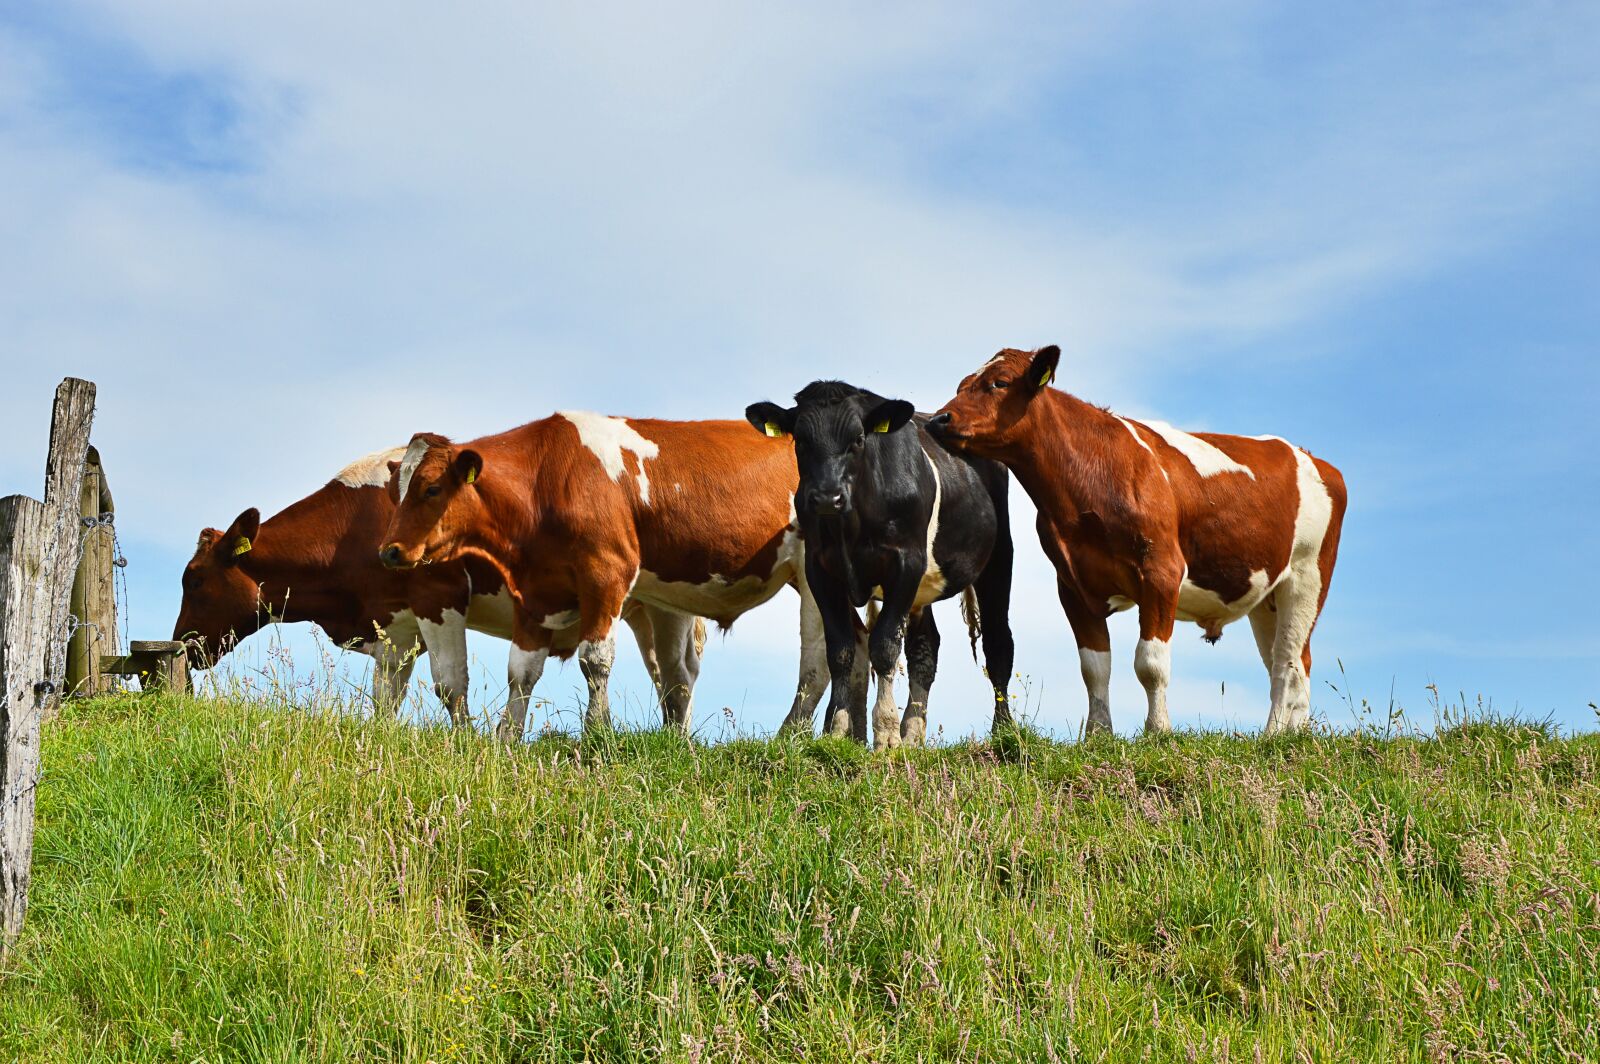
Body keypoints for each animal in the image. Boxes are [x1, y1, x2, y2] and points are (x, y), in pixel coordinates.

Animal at [173, 447, 704, 731]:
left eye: (194, 579)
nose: (183, 644)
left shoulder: (438, 596)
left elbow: (450, 684)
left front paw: (467, 742)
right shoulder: (394, 623)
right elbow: (386, 695)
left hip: (664, 605)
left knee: (675, 674)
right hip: (648, 607)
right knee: (668, 675)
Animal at [376, 413, 835, 739]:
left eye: (432, 488)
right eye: (393, 494)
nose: (388, 551)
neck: (546, 481)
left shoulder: (606, 573)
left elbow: (594, 660)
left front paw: (597, 730)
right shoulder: (537, 591)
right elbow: (521, 670)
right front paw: (506, 738)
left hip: (817, 574)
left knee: (819, 660)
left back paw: (791, 734)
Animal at [744, 381, 1016, 750]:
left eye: (859, 438)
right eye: (800, 439)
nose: (827, 498)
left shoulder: (905, 563)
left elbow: (885, 646)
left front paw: (886, 733)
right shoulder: (819, 568)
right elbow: (840, 650)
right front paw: (839, 729)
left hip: (999, 556)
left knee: (998, 641)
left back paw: (1003, 731)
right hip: (922, 591)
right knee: (925, 648)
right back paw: (913, 733)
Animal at [928, 345, 1348, 735]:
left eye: (998, 383)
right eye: (961, 386)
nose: (938, 419)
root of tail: (1312, 458)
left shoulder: (1162, 571)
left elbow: (1150, 663)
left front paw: (1158, 730)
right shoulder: (1072, 584)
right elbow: (1094, 667)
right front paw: (1098, 734)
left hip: (1307, 577)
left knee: (1287, 662)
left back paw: (1272, 734)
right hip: (1265, 593)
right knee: (1295, 661)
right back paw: (1294, 734)